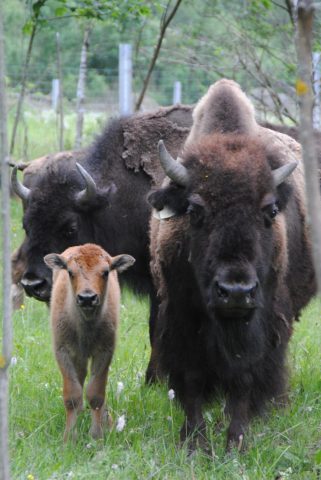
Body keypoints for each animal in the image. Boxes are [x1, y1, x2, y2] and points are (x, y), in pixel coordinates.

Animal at [43, 244, 134, 442]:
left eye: (105, 272)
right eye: (70, 272)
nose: (87, 298)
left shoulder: (104, 352)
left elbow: (96, 393)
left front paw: (97, 435)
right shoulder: (63, 351)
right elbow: (72, 394)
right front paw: (69, 438)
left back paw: (107, 421)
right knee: (80, 378)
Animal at [149, 79, 316, 454]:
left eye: (270, 210)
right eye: (195, 210)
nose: (236, 291)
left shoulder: (261, 324)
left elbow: (243, 379)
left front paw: (235, 443)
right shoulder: (181, 320)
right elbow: (192, 380)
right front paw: (194, 443)